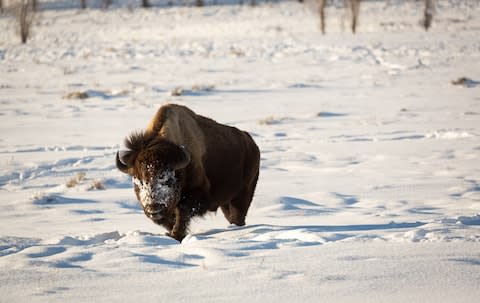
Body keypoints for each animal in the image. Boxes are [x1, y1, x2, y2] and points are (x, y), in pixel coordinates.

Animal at [115, 104, 258, 242]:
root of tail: (251, 143)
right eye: (138, 181)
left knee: (238, 214)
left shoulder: (197, 193)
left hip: (242, 195)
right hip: (225, 203)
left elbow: (182, 212)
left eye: (168, 179)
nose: (153, 208)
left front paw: (176, 235)